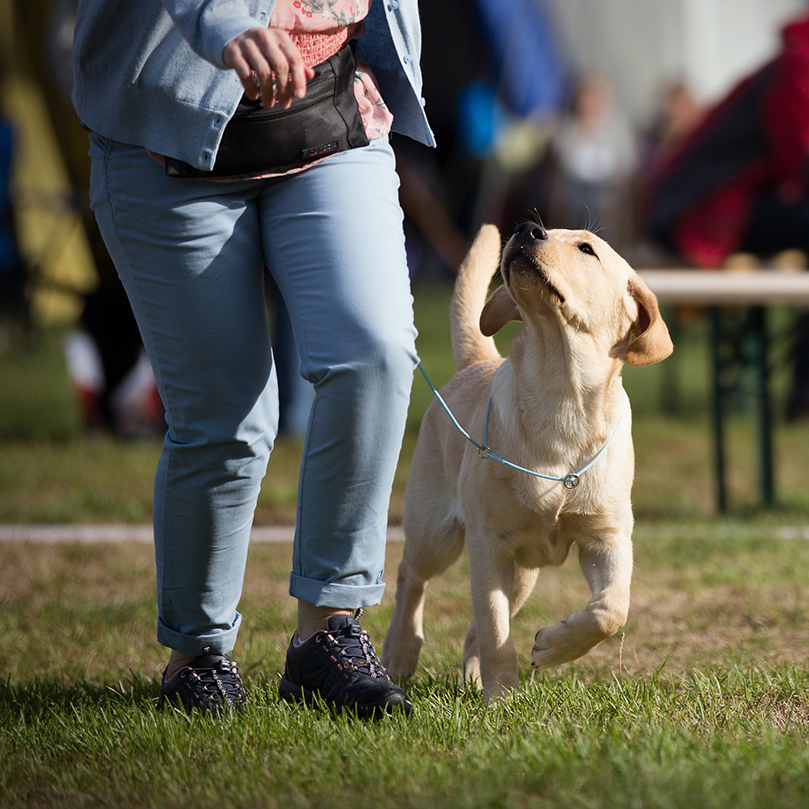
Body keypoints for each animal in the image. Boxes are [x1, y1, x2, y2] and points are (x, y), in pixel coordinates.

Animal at [382, 223, 672, 700]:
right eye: (544, 230)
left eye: (586, 249)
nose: (525, 230)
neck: (562, 398)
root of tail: (479, 361)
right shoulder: (488, 541)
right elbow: (496, 629)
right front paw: (501, 696)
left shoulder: (607, 537)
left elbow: (611, 609)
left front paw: (552, 646)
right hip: (438, 535)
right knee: (412, 576)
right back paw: (399, 653)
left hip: (522, 573)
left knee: (474, 627)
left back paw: (472, 675)